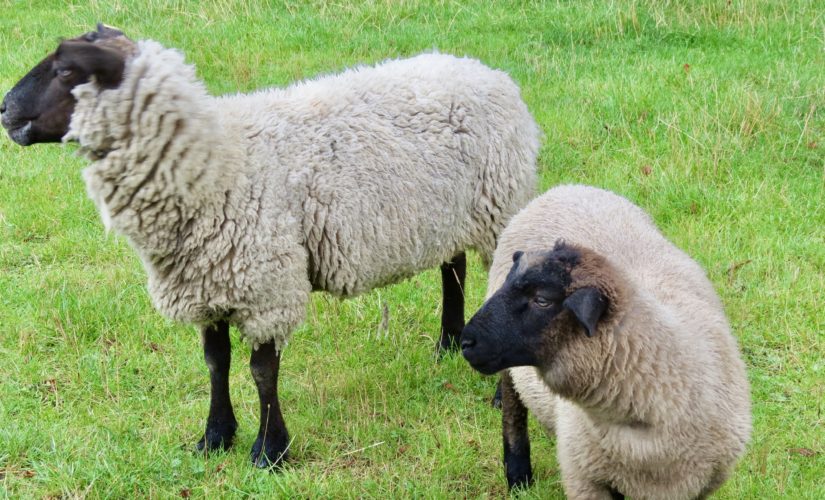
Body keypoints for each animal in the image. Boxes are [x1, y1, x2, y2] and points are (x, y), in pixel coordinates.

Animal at [460, 185, 748, 500]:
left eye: (542, 300)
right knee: (513, 416)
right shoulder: (586, 479)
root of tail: (567, 188)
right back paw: (518, 479)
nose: (466, 341)